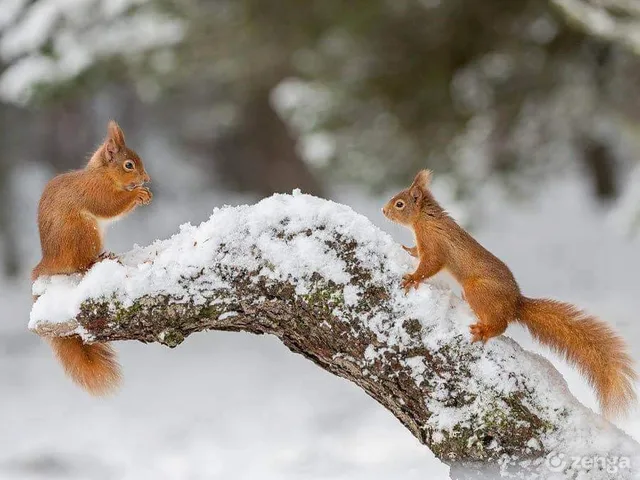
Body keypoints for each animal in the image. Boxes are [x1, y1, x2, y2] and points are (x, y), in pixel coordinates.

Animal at [32, 120, 152, 394]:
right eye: (129, 165)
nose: (146, 179)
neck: (102, 174)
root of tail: (50, 261)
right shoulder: (96, 192)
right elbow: (110, 206)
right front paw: (138, 194)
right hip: (83, 232)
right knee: (80, 266)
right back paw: (97, 261)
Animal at [382, 171, 636, 418]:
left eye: (399, 204)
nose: (383, 211)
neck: (426, 218)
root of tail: (515, 304)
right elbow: (418, 254)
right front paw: (407, 249)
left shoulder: (435, 245)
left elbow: (429, 265)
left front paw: (412, 278)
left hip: (476, 290)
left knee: (501, 324)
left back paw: (484, 330)